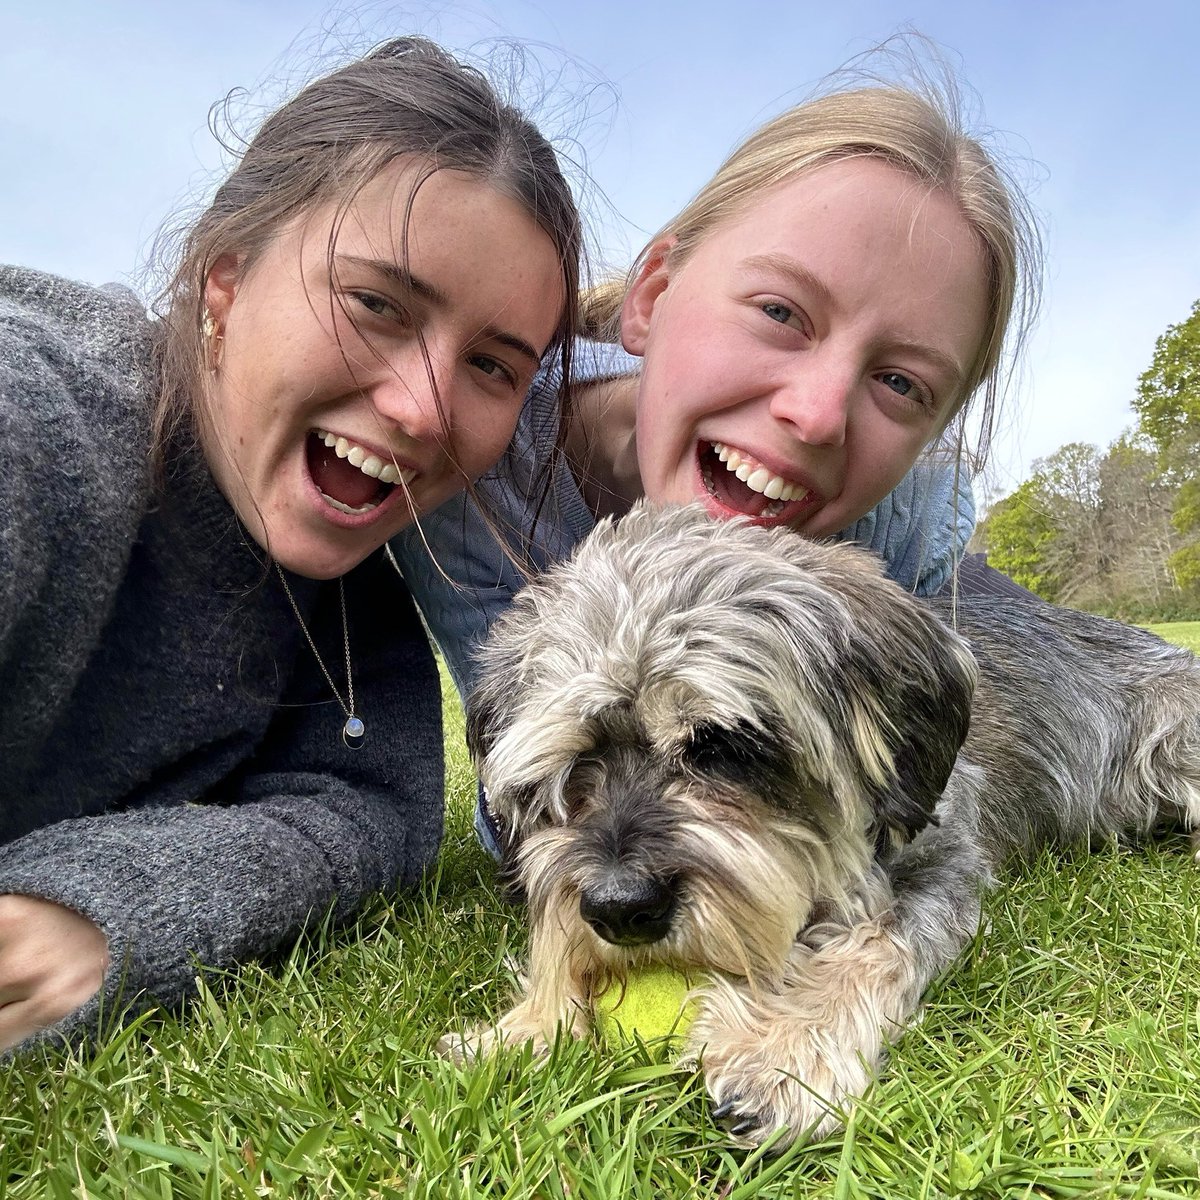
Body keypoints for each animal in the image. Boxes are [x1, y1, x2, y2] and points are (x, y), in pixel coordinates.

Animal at [444, 501, 1200, 1147]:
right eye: (573, 763)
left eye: (723, 744)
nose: (619, 910)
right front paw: (529, 1026)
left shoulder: (942, 861)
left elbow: (878, 939)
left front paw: (784, 1049)